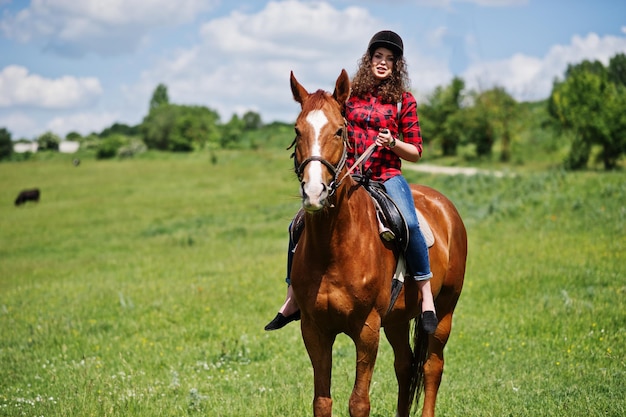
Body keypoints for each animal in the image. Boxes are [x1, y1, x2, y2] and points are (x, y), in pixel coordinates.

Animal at [286, 69, 464, 416]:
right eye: (298, 131)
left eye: (339, 130)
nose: (314, 192)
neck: (334, 247)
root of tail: (444, 205)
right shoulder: (314, 329)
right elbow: (322, 401)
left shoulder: (366, 328)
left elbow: (359, 402)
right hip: (396, 319)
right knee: (405, 366)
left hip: (444, 310)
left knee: (432, 366)